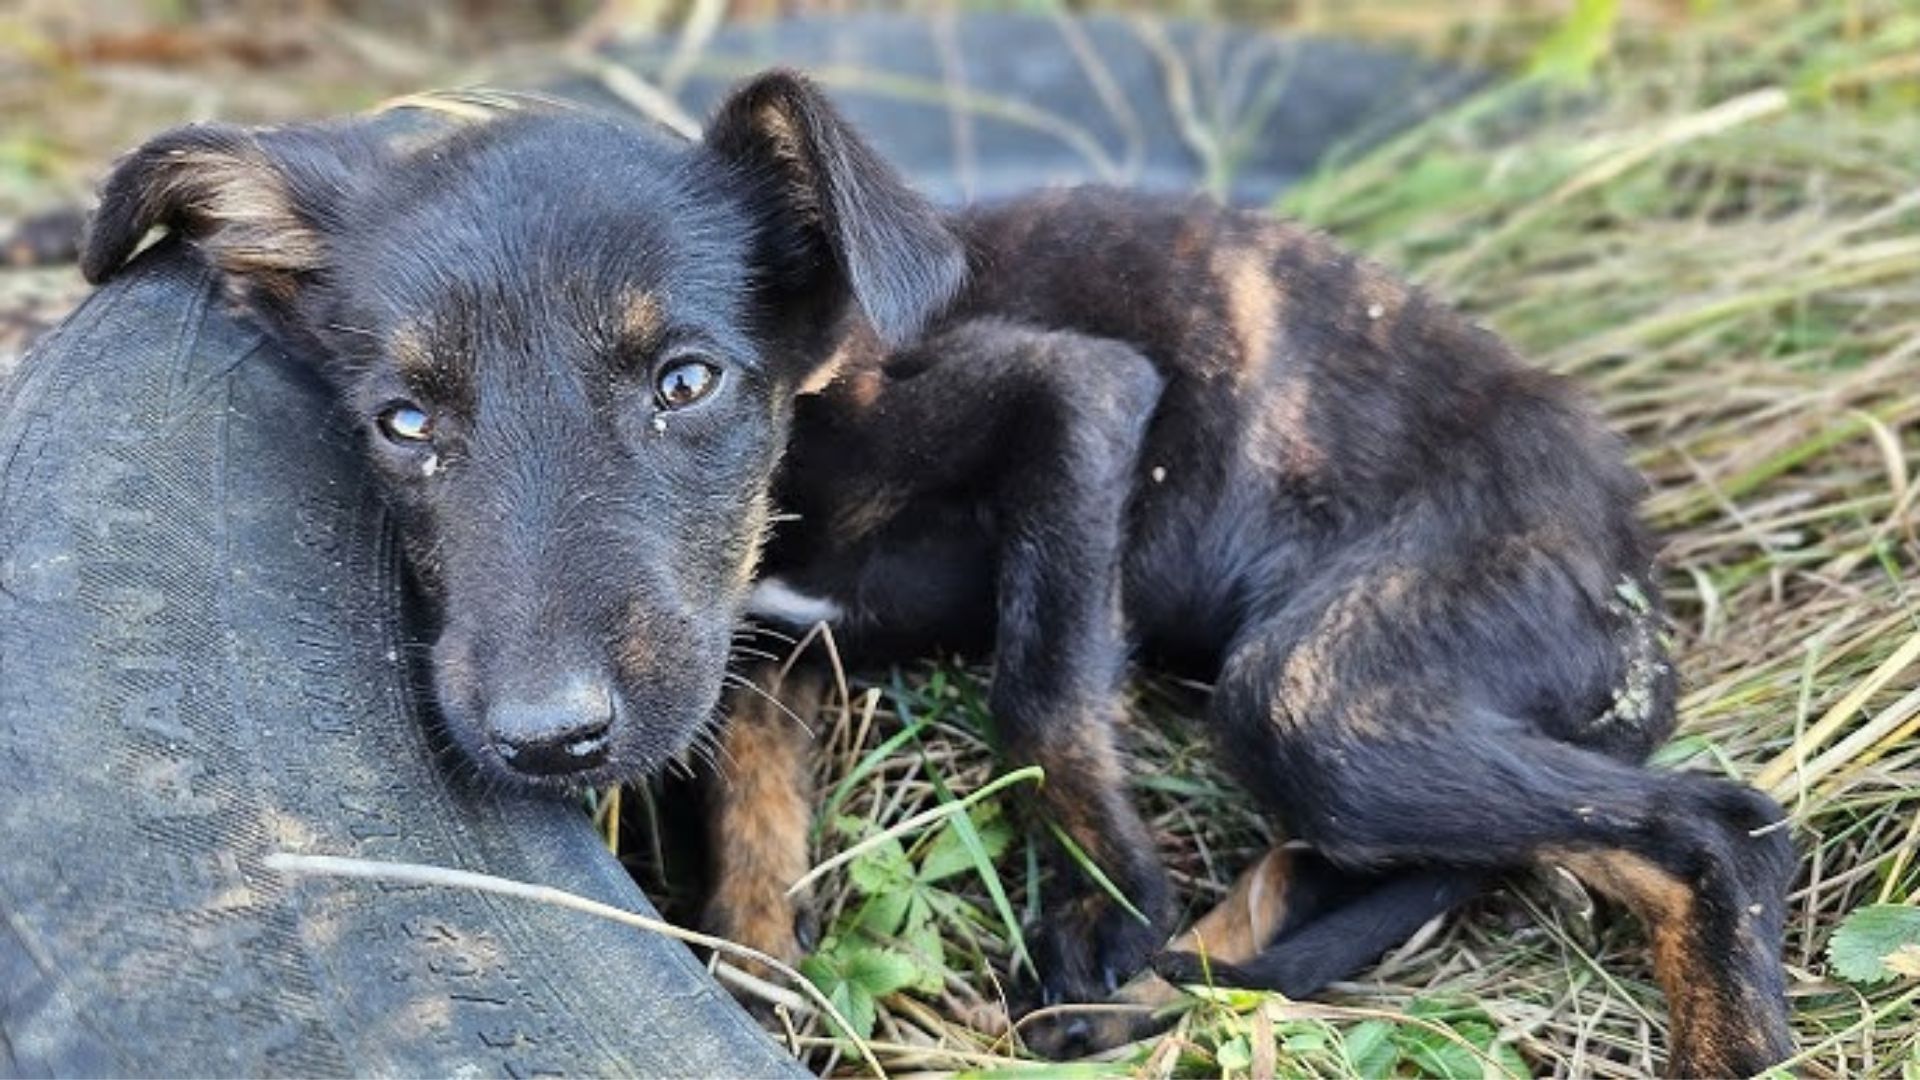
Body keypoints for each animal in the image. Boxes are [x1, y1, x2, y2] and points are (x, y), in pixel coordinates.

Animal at [86, 71, 1797, 1068]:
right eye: (406, 422)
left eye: (688, 382)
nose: (546, 740)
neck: (808, 433)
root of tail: (1626, 521)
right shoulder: (749, 659)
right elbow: (755, 839)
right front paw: (758, 989)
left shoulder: (1086, 396)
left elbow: (1044, 684)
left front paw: (1097, 903)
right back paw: (1200, 977)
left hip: (1329, 688)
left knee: (1711, 823)